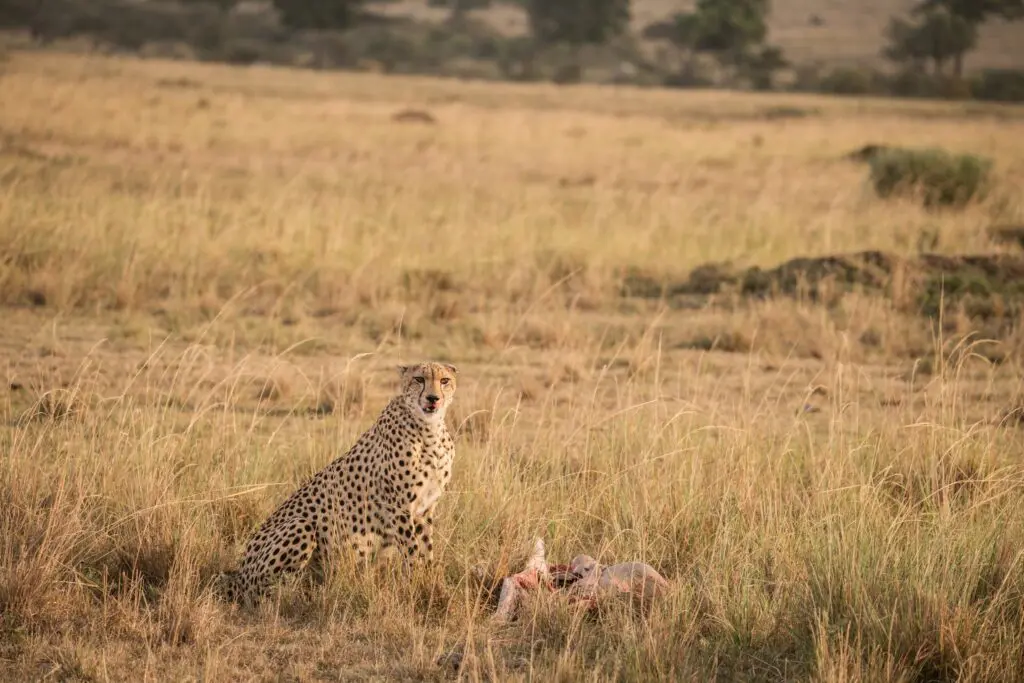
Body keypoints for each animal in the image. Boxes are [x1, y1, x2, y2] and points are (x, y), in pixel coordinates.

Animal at [217, 361, 459, 606]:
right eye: (419, 379)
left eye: (444, 380)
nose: (432, 398)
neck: (429, 430)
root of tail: (239, 573)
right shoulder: (398, 507)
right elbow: (412, 551)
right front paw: (416, 586)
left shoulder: (425, 509)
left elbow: (426, 549)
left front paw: (430, 583)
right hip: (301, 526)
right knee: (264, 592)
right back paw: (300, 597)